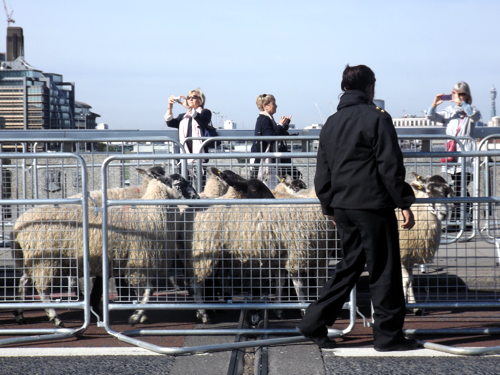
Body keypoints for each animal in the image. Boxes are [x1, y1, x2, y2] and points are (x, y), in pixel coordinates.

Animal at [398, 175, 454, 316]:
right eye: (428, 191)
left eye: (446, 192)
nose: (444, 214)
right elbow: (405, 280)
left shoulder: (409, 256)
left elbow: (410, 280)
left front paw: (415, 307)